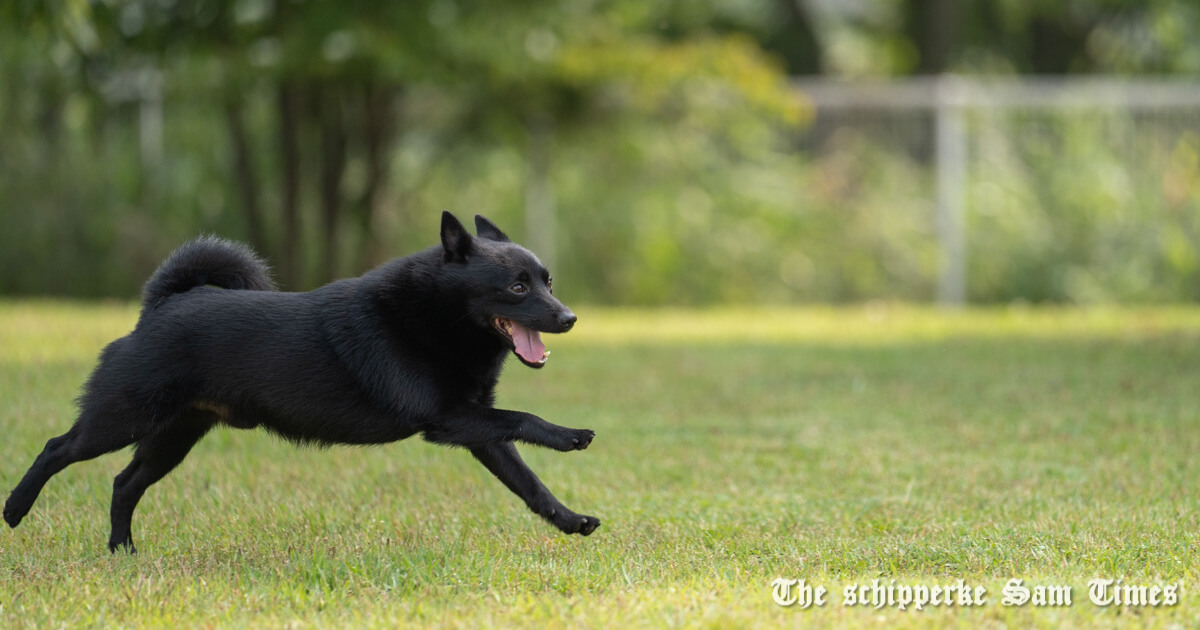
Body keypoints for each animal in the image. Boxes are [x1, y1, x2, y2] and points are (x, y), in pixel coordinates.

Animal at [2, 211, 597, 549]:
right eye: (517, 287)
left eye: (547, 282)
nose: (569, 319)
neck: (435, 313)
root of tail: (163, 303)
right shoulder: (450, 419)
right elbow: (524, 418)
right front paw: (570, 435)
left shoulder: (478, 430)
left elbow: (529, 484)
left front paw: (570, 521)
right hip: (121, 417)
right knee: (57, 448)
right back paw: (15, 510)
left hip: (174, 435)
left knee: (124, 484)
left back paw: (121, 551)